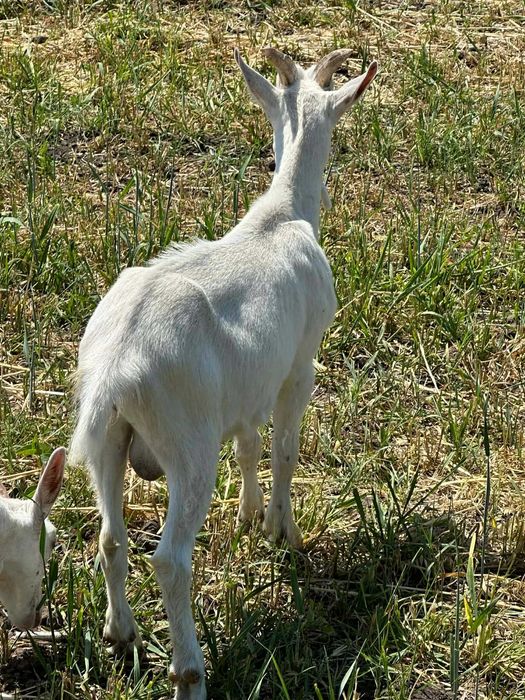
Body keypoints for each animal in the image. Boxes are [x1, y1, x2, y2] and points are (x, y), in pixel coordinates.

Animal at [69, 47, 377, 699]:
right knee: (169, 559)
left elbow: (249, 444)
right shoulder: (299, 366)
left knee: (111, 536)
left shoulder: (246, 391)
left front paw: (249, 517)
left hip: (108, 439)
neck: (280, 216)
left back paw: (122, 637)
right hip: (187, 447)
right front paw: (282, 534)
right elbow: (284, 449)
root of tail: (115, 366)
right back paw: (190, 672)